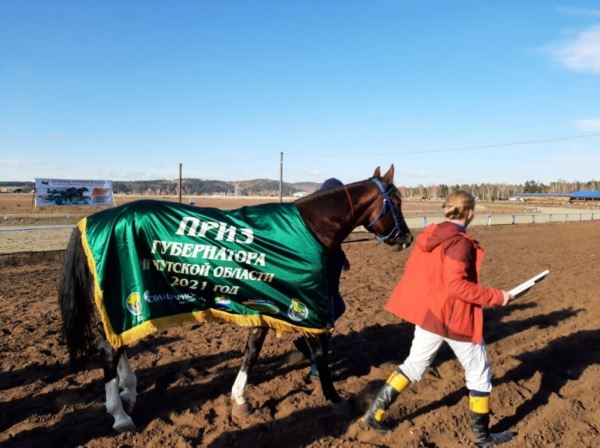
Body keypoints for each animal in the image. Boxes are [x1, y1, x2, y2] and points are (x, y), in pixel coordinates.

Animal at [57, 164, 412, 430]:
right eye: (396, 200)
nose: (407, 238)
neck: (309, 228)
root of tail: (93, 220)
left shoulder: (270, 303)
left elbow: (252, 350)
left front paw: (240, 399)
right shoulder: (301, 304)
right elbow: (317, 350)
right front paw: (336, 398)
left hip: (131, 303)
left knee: (114, 341)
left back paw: (129, 390)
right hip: (129, 297)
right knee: (108, 348)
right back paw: (119, 414)